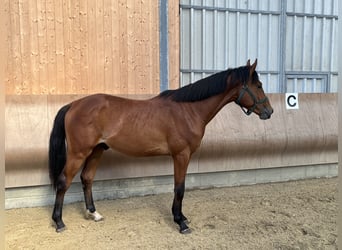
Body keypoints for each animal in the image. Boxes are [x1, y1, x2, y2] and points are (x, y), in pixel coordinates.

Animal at [48, 58, 272, 232]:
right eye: (259, 86)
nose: (269, 111)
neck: (187, 110)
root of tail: (74, 105)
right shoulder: (181, 155)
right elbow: (179, 188)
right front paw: (180, 222)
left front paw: (182, 217)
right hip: (78, 153)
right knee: (63, 181)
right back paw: (59, 222)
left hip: (96, 151)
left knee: (87, 178)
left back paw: (93, 214)